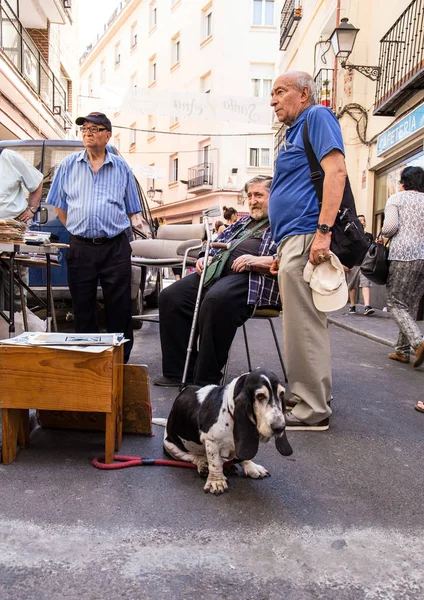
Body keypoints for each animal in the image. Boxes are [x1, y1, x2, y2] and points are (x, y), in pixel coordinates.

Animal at [164, 368, 294, 494]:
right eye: (260, 396)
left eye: (282, 394)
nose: (279, 428)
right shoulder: (211, 441)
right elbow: (215, 463)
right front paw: (216, 482)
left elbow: (244, 456)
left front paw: (251, 467)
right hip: (170, 446)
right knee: (193, 457)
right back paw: (203, 464)